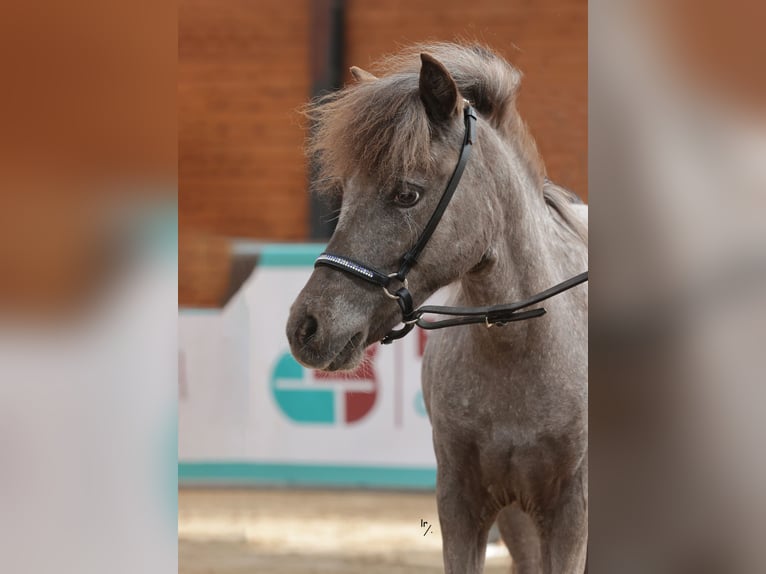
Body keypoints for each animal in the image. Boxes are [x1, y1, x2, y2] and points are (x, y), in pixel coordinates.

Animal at [284, 42, 592, 572]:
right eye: (347, 192)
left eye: (407, 193)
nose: (306, 326)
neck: (519, 348)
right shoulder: (464, 504)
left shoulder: (569, 515)